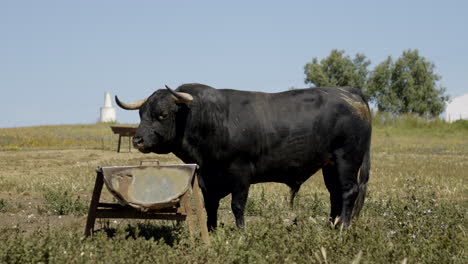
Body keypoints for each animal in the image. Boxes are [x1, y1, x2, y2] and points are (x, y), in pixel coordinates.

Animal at [117, 83, 372, 230]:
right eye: (141, 113)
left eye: (162, 114)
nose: (137, 140)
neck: (210, 119)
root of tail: (349, 92)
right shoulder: (208, 178)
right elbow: (211, 205)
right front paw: (212, 231)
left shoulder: (240, 174)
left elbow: (237, 206)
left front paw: (241, 233)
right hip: (330, 164)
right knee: (335, 194)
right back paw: (332, 225)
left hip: (347, 159)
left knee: (349, 191)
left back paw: (343, 228)